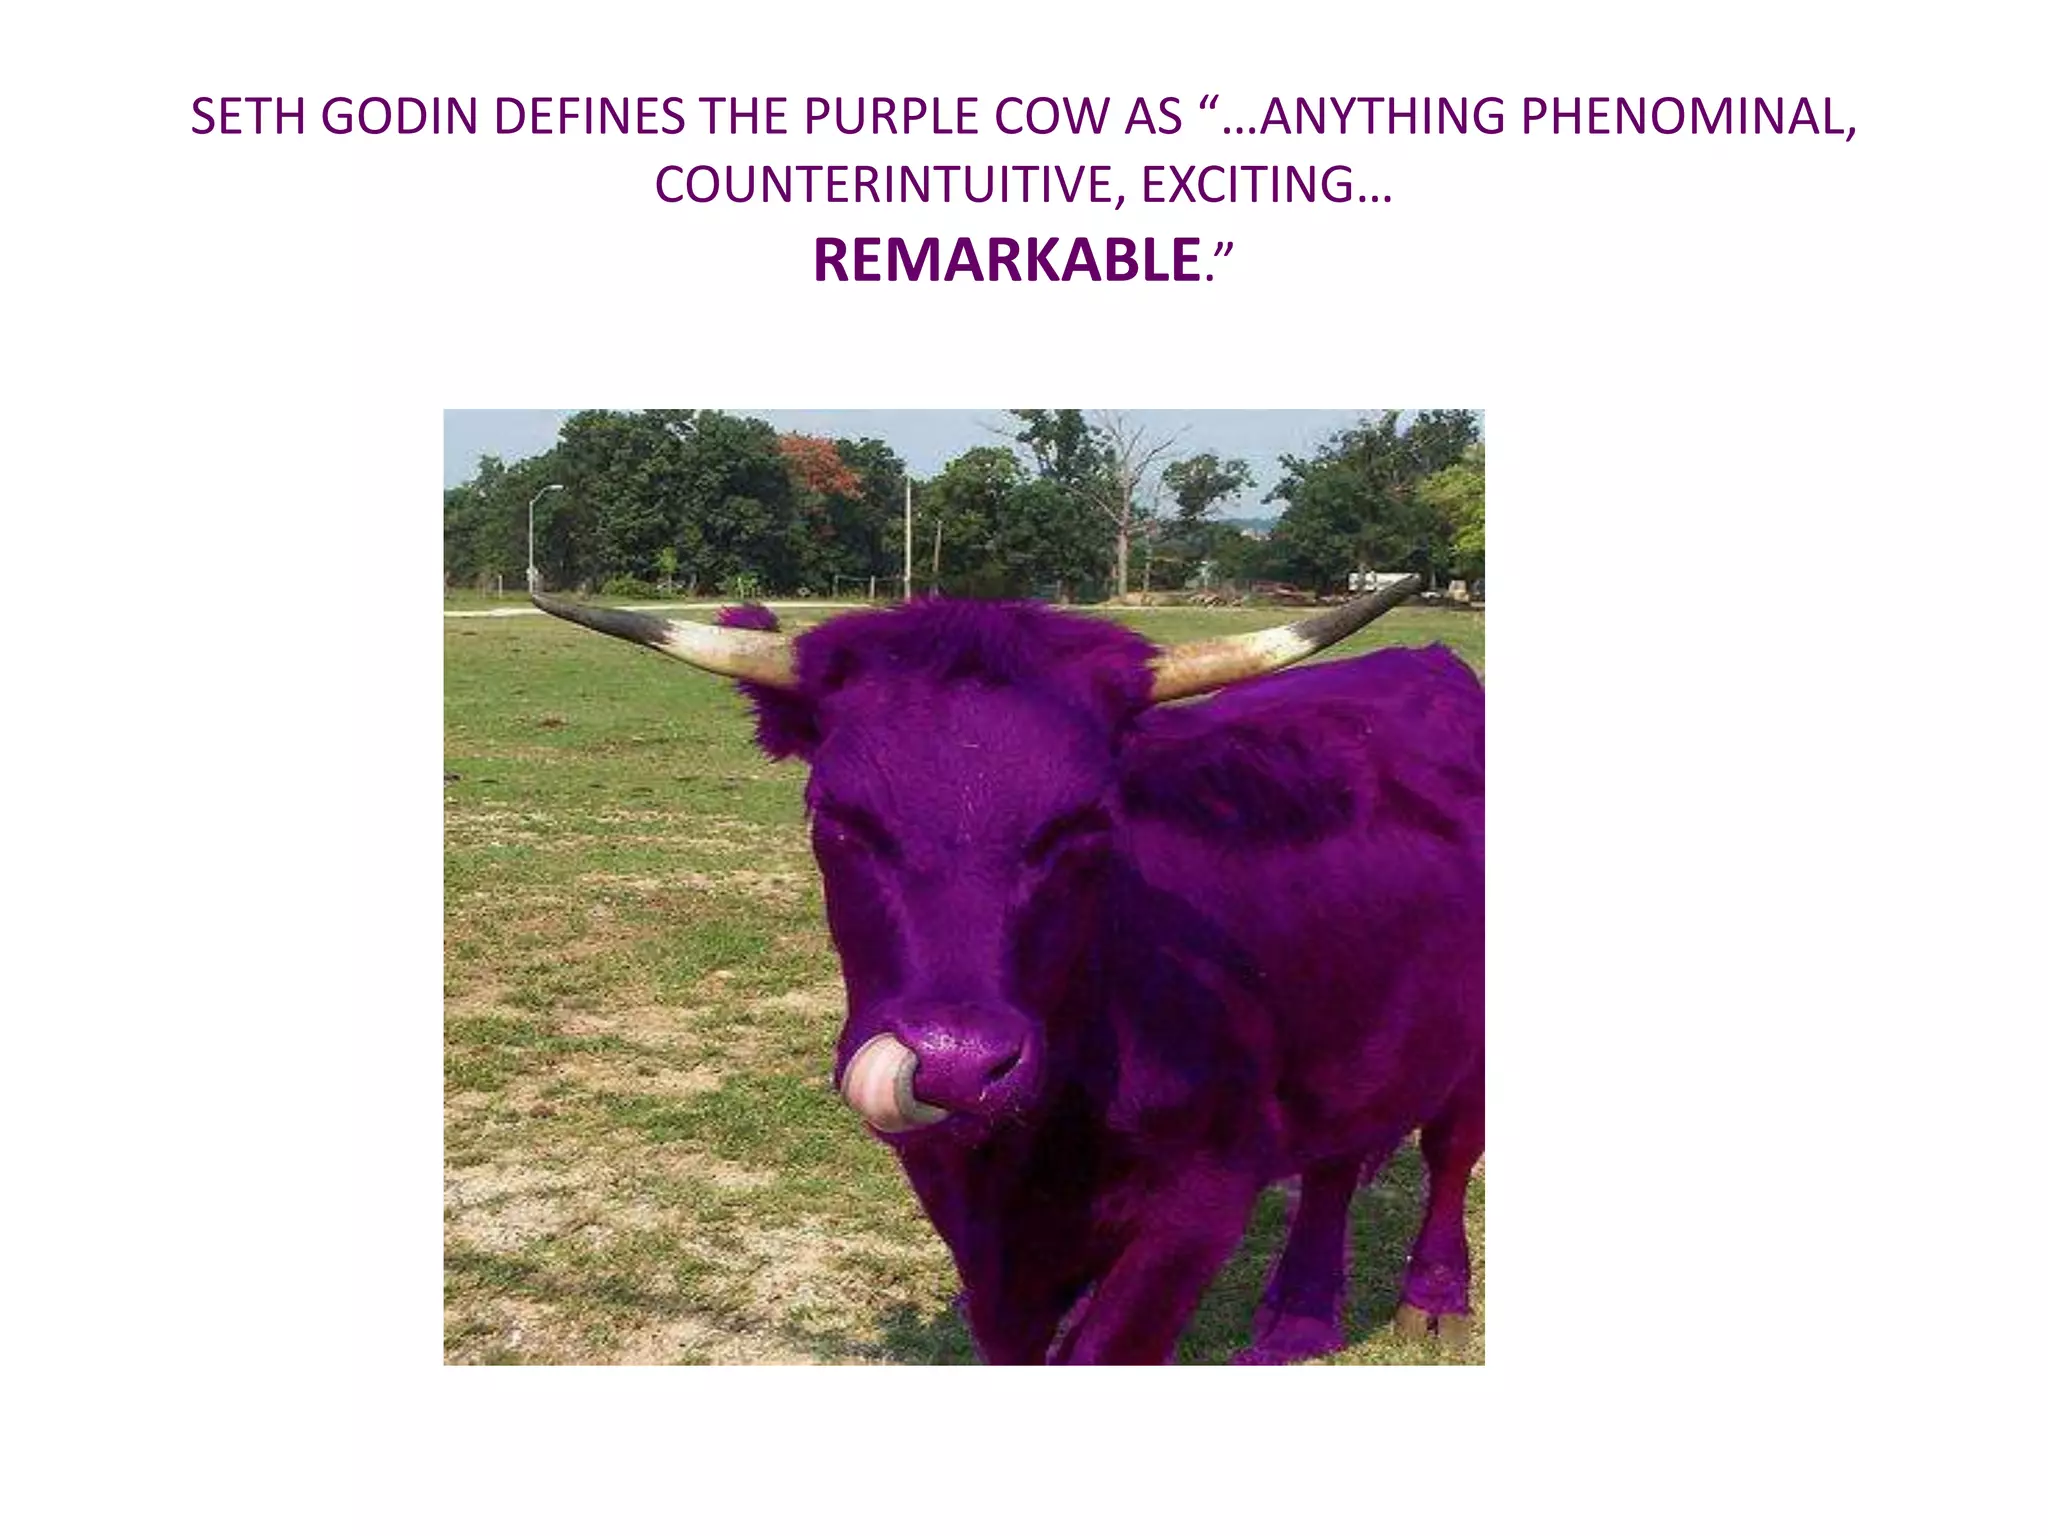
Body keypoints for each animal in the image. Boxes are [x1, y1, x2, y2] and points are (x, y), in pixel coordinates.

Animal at [532, 580, 1483, 1364]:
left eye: (1086, 820)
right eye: (835, 814)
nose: (957, 1063)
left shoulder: (1201, 1201)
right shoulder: (976, 1222)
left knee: (1448, 1152)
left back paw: (1431, 1302)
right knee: (1339, 1157)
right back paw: (1296, 1323)